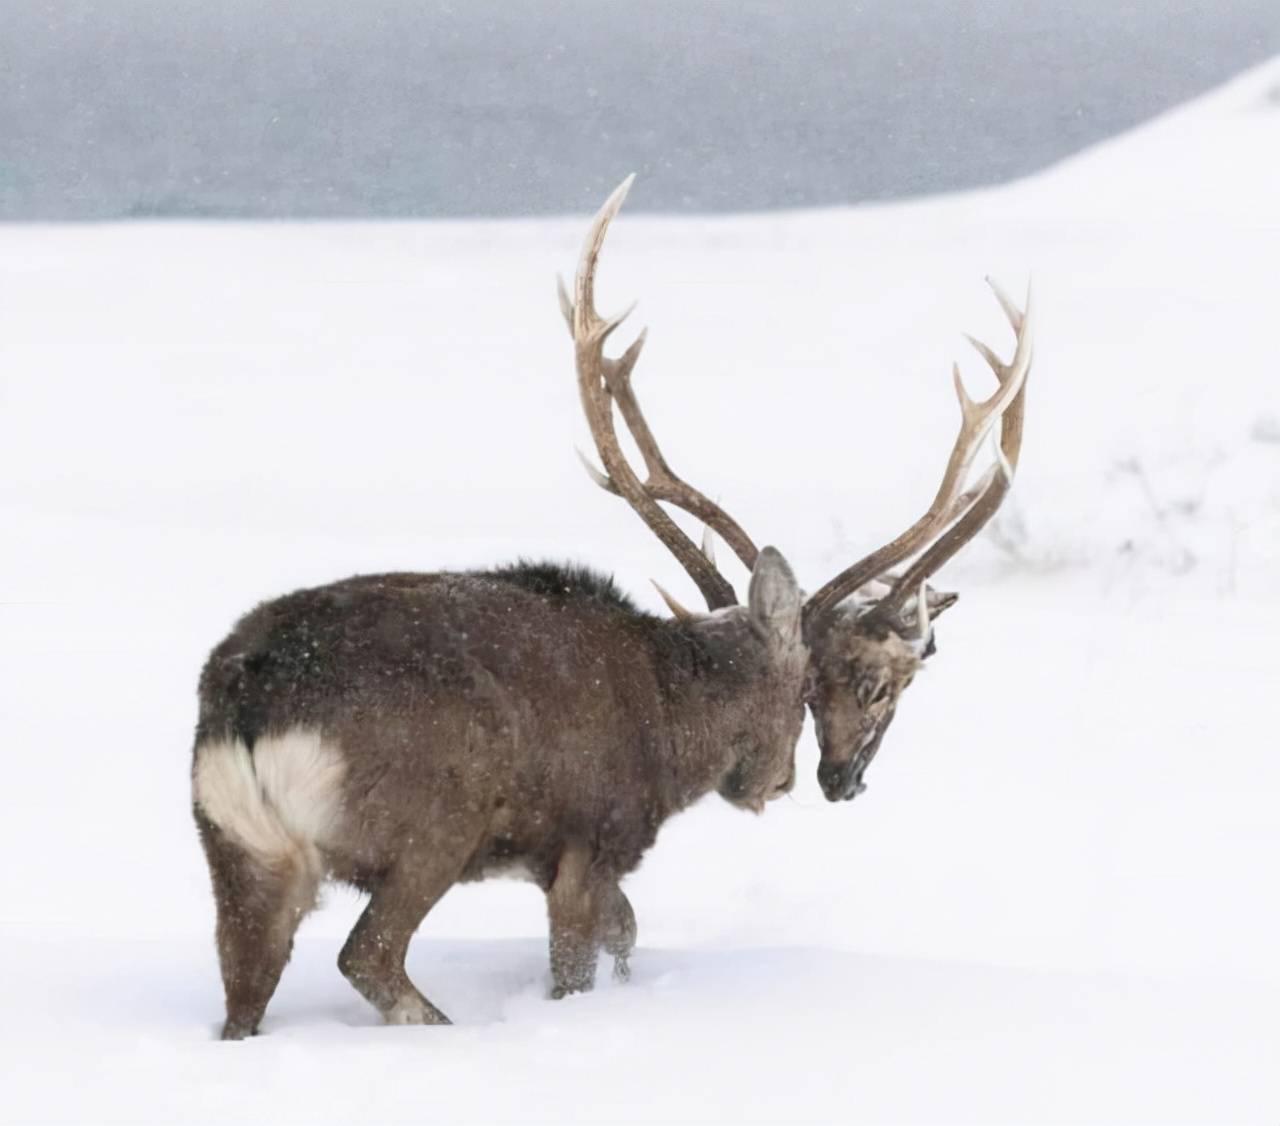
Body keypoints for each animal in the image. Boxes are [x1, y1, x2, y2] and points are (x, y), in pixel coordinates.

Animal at [186, 174, 1029, 1038]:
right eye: (821, 685)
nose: (802, 781)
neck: (673, 720)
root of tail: (250, 710)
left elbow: (626, 932)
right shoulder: (591, 835)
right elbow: (584, 959)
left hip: (236, 846)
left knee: (243, 993)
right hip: (434, 819)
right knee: (368, 954)